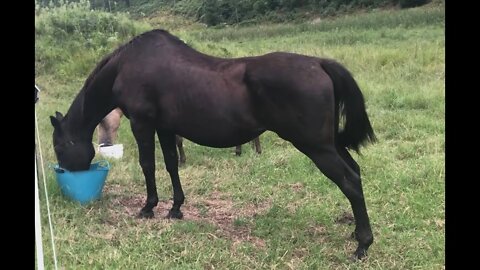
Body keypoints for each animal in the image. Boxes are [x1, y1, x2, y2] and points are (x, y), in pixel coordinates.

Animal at [50, 28, 376, 258]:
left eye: (59, 146)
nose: (66, 173)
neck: (127, 66)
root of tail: (319, 63)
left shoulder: (143, 124)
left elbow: (148, 165)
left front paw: (148, 207)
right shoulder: (165, 128)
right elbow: (171, 164)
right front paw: (175, 208)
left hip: (317, 148)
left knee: (349, 181)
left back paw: (362, 245)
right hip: (331, 144)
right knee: (356, 173)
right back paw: (356, 233)